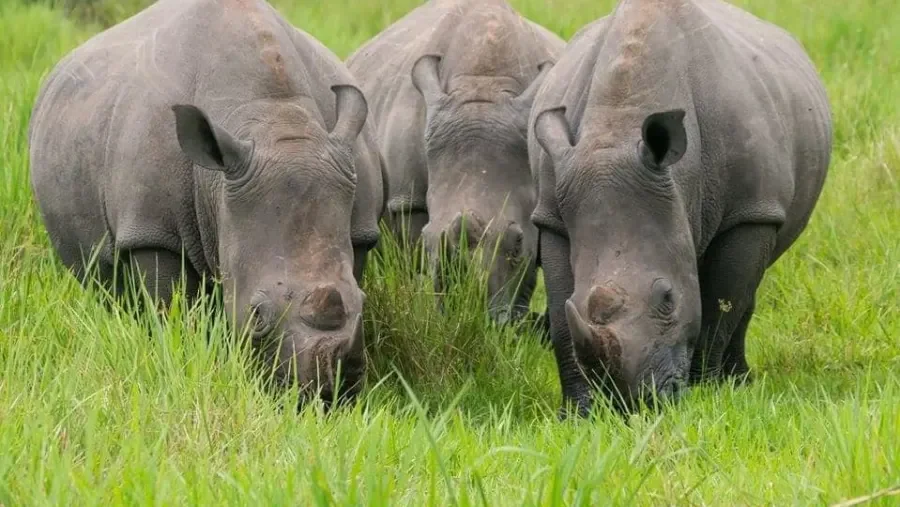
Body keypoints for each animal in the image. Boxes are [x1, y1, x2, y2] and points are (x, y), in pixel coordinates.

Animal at [28, 0, 386, 406]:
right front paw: (178, 353)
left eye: (363, 303)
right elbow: (171, 311)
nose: (327, 393)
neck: (276, 120)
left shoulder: (358, 230)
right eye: (256, 316)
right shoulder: (152, 231)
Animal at [528, 0, 832, 415]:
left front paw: (707, 392)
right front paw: (577, 412)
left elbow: (720, 305)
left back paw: (740, 381)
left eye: (668, 299)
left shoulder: (749, 212)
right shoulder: (552, 215)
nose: (635, 404)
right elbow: (561, 313)